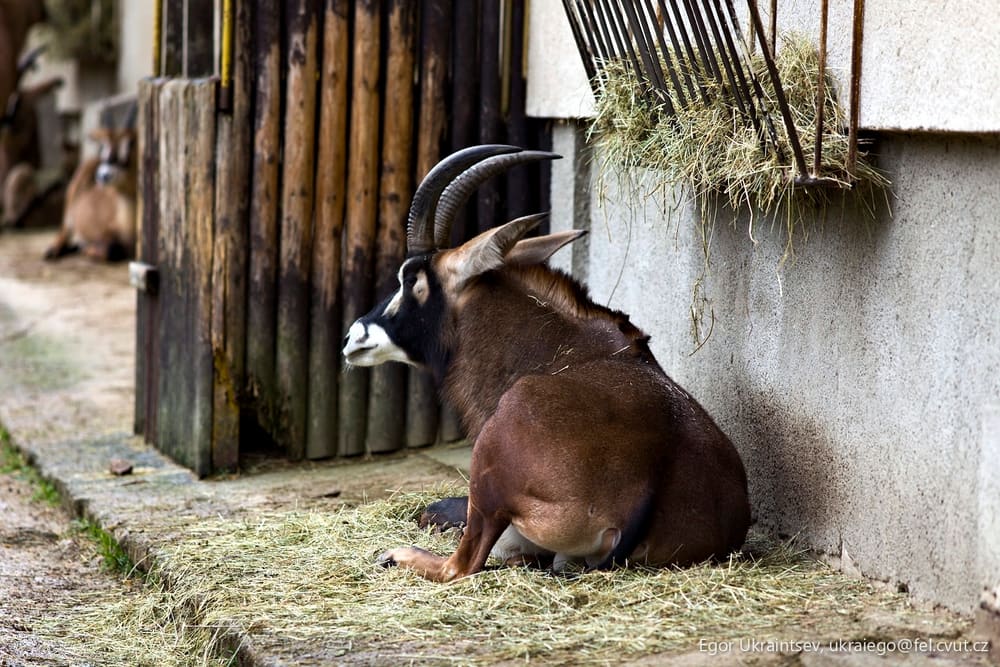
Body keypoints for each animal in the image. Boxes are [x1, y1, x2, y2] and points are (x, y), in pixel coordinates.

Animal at [44, 106, 137, 262]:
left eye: (129, 145)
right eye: (103, 147)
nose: (102, 176)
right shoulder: (105, 232)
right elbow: (112, 249)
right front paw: (89, 250)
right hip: (68, 218)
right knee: (64, 233)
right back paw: (54, 250)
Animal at [343, 145, 751, 582]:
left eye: (411, 279)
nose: (353, 338)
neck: (562, 348)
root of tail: (649, 483)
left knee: (463, 564)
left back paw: (397, 554)